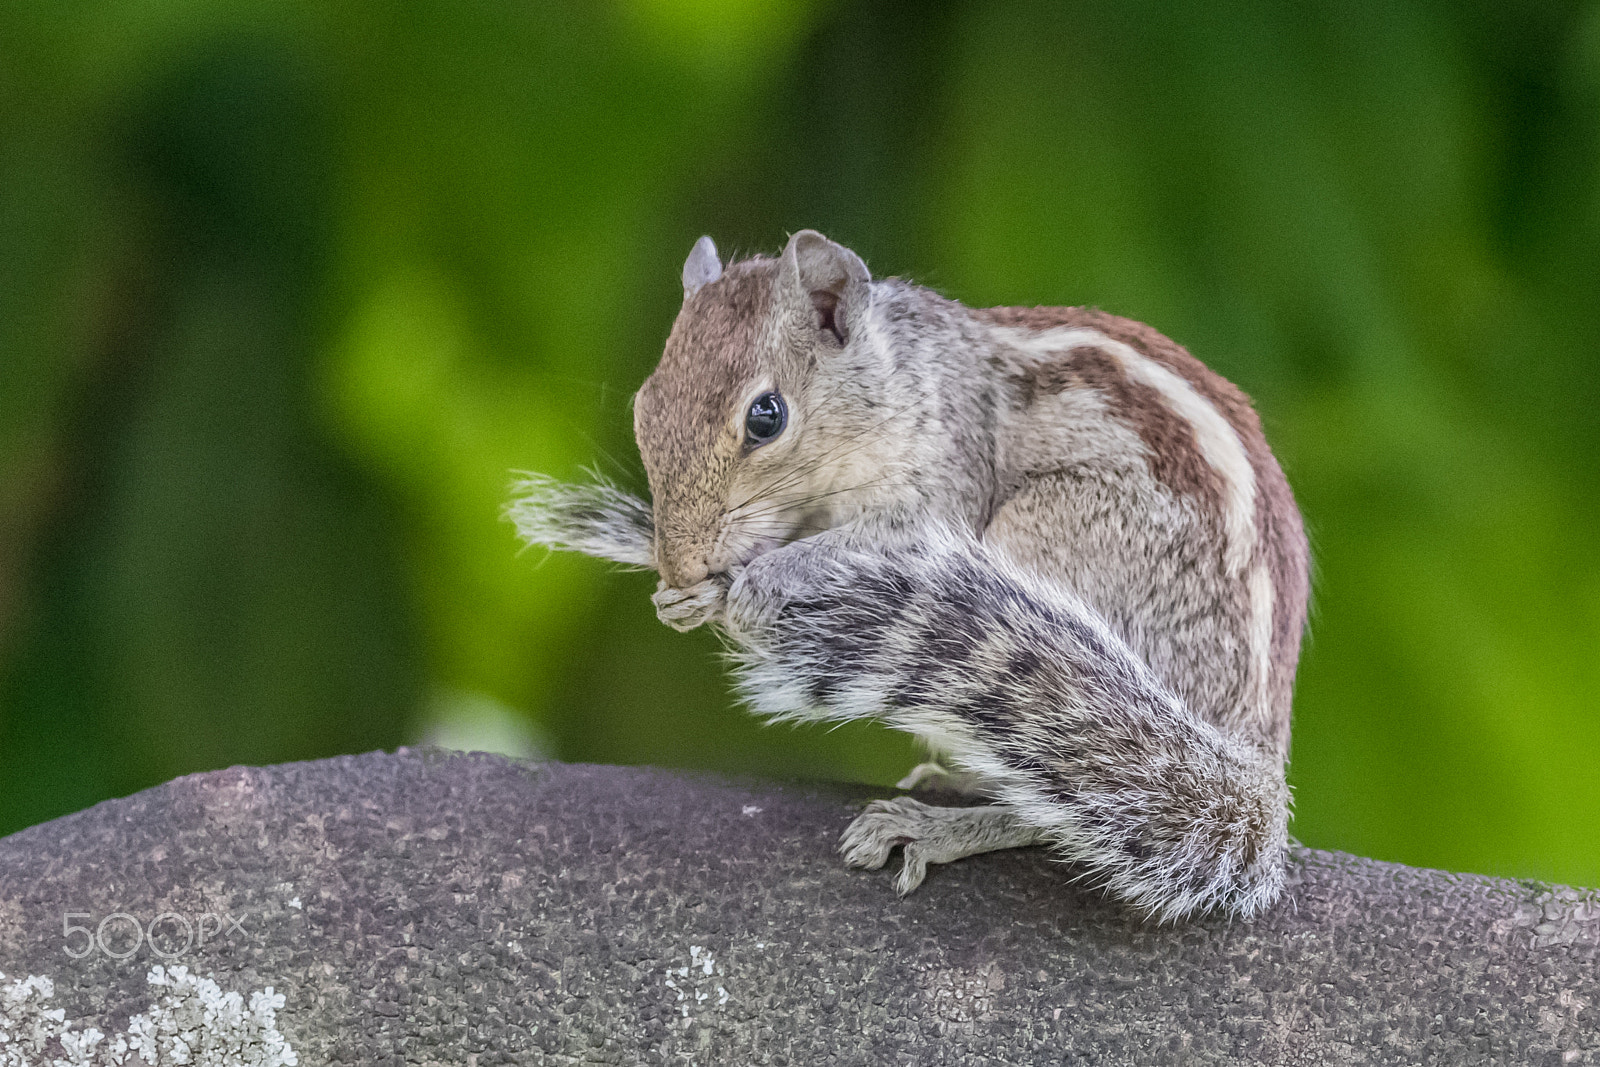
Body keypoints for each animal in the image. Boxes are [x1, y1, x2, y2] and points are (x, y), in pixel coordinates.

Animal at [512, 230, 1312, 921]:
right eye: (645, 404)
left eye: (766, 416)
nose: (679, 559)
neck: (898, 372)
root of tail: (1254, 755)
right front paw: (681, 598)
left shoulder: (941, 482)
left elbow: (859, 542)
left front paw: (755, 584)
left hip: (1055, 556)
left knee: (1075, 793)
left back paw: (938, 826)